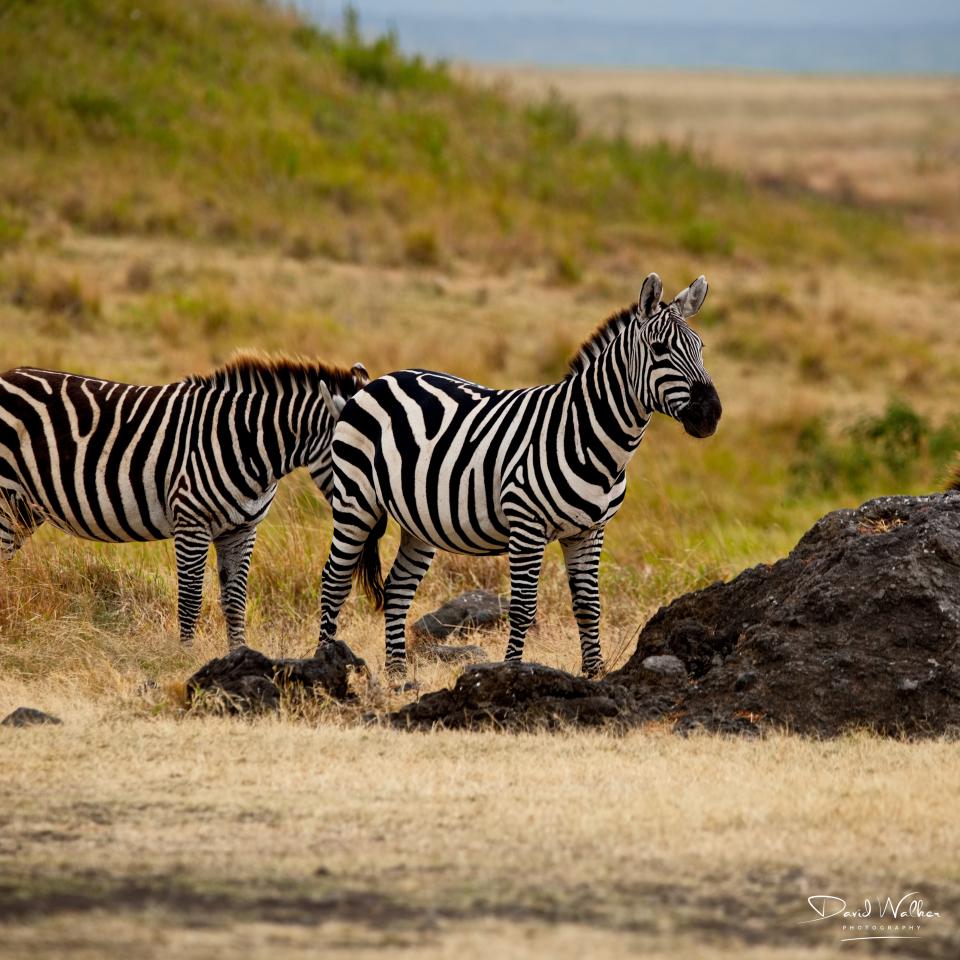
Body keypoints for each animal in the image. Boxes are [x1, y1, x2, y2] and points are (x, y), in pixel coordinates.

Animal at [0, 353, 369, 648]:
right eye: (355, 454)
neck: (249, 443)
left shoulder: (242, 531)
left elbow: (235, 600)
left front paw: (240, 655)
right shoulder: (192, 522)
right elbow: (191, 597)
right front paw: (186, 656)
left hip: (25, 508)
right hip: (6, 498)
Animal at [316, 273, 721, 677]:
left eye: (701, 347)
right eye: (659, 349)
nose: (710, 414)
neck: (586, 434)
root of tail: (377, 382)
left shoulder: (590, 531)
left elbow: (589, 607)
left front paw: (595, 675)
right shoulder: (527, 525)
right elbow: (524, 608)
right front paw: (510, 672)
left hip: (418, 520)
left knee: (398, 587)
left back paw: (398, 673)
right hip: (355, 501)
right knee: (334, 580)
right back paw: (326, 659)